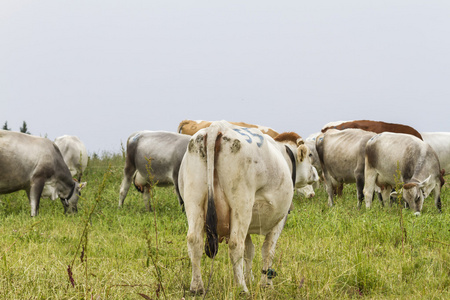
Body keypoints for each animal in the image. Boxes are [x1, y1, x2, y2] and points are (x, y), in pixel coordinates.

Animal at [178, 120, 318, 294]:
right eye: (309, 157)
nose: (315, 175)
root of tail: (218, 127)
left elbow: (249, 250)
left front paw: (249, 277)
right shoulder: (280, 220)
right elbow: (267, 250)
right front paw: (265, 283)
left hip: (194, 199)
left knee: (194, 240)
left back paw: (197, 287)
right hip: (241, 204)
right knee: (235, 244)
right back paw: (241, 288)